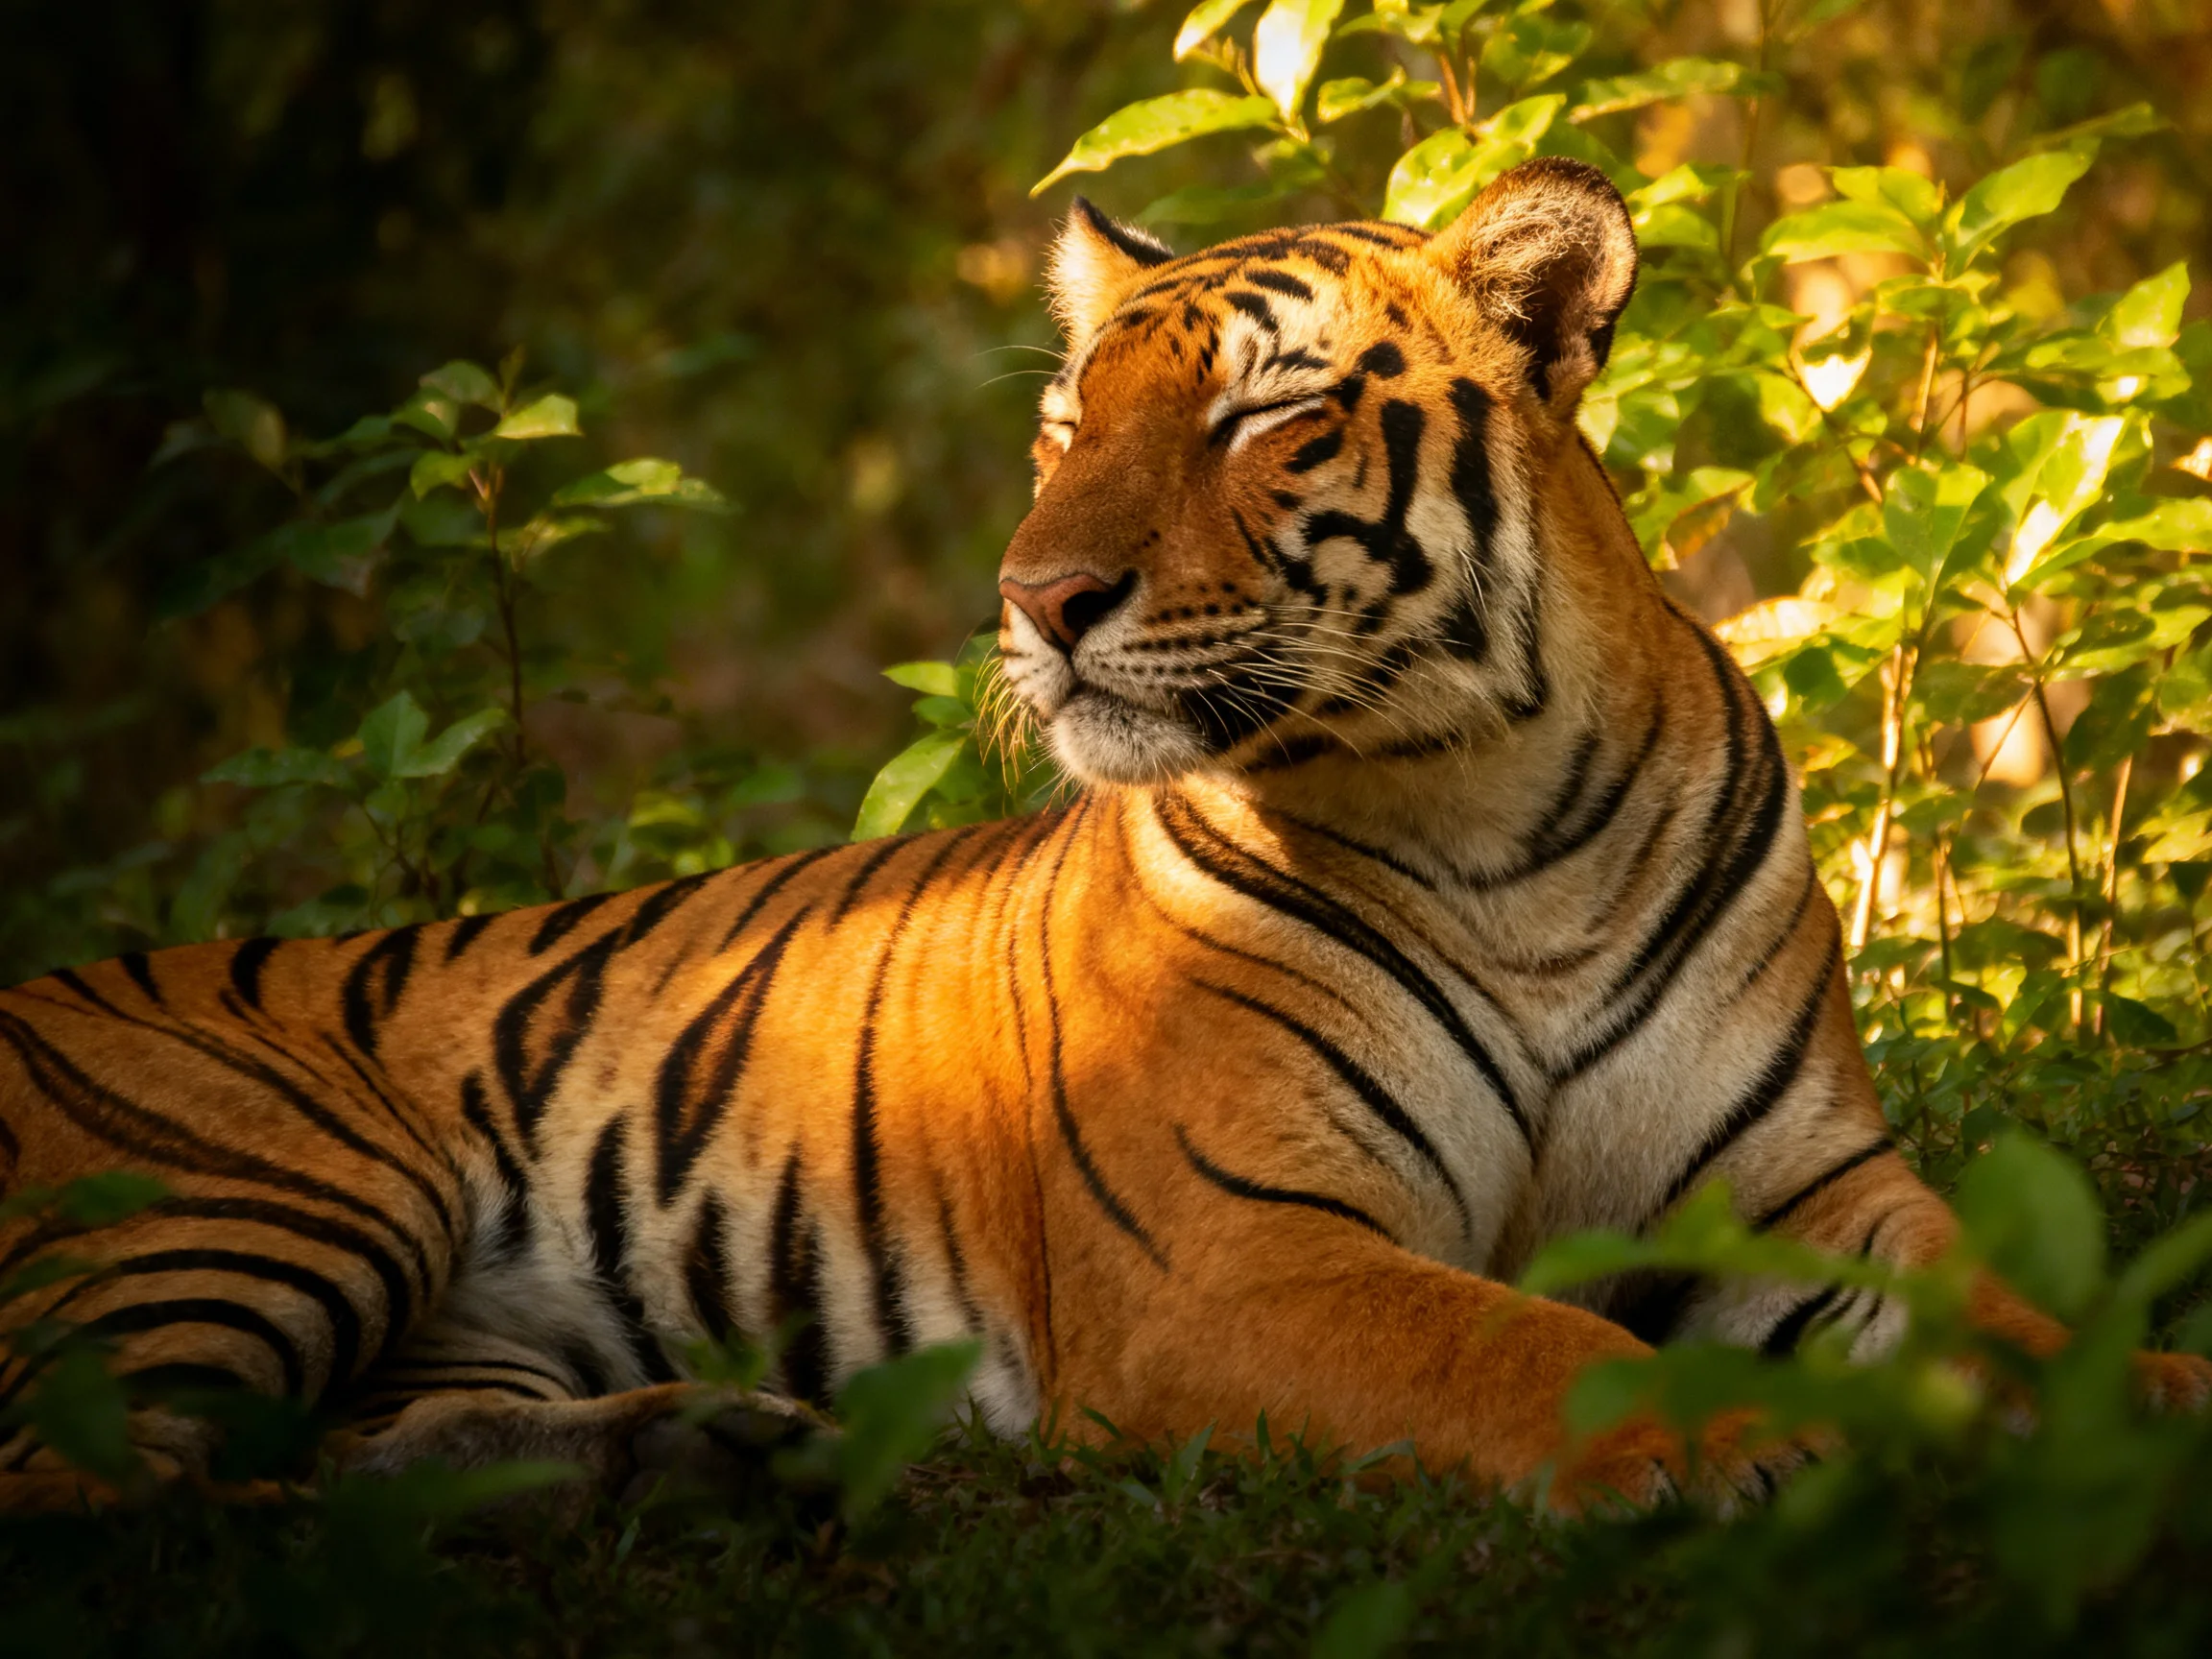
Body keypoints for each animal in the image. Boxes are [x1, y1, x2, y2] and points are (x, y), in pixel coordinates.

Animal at [3, 158, 2205, 1518]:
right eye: (1069, 429)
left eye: (1263, 421)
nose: (1031, 595)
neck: (1507, 824)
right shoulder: (1237, 1251)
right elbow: (1539, 1351)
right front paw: (1745, 1434)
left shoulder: (1804, 1193)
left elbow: (2024, 1314)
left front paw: (2157, 1406)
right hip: (268, 1186)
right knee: (102, 1486)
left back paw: (707, 1452)